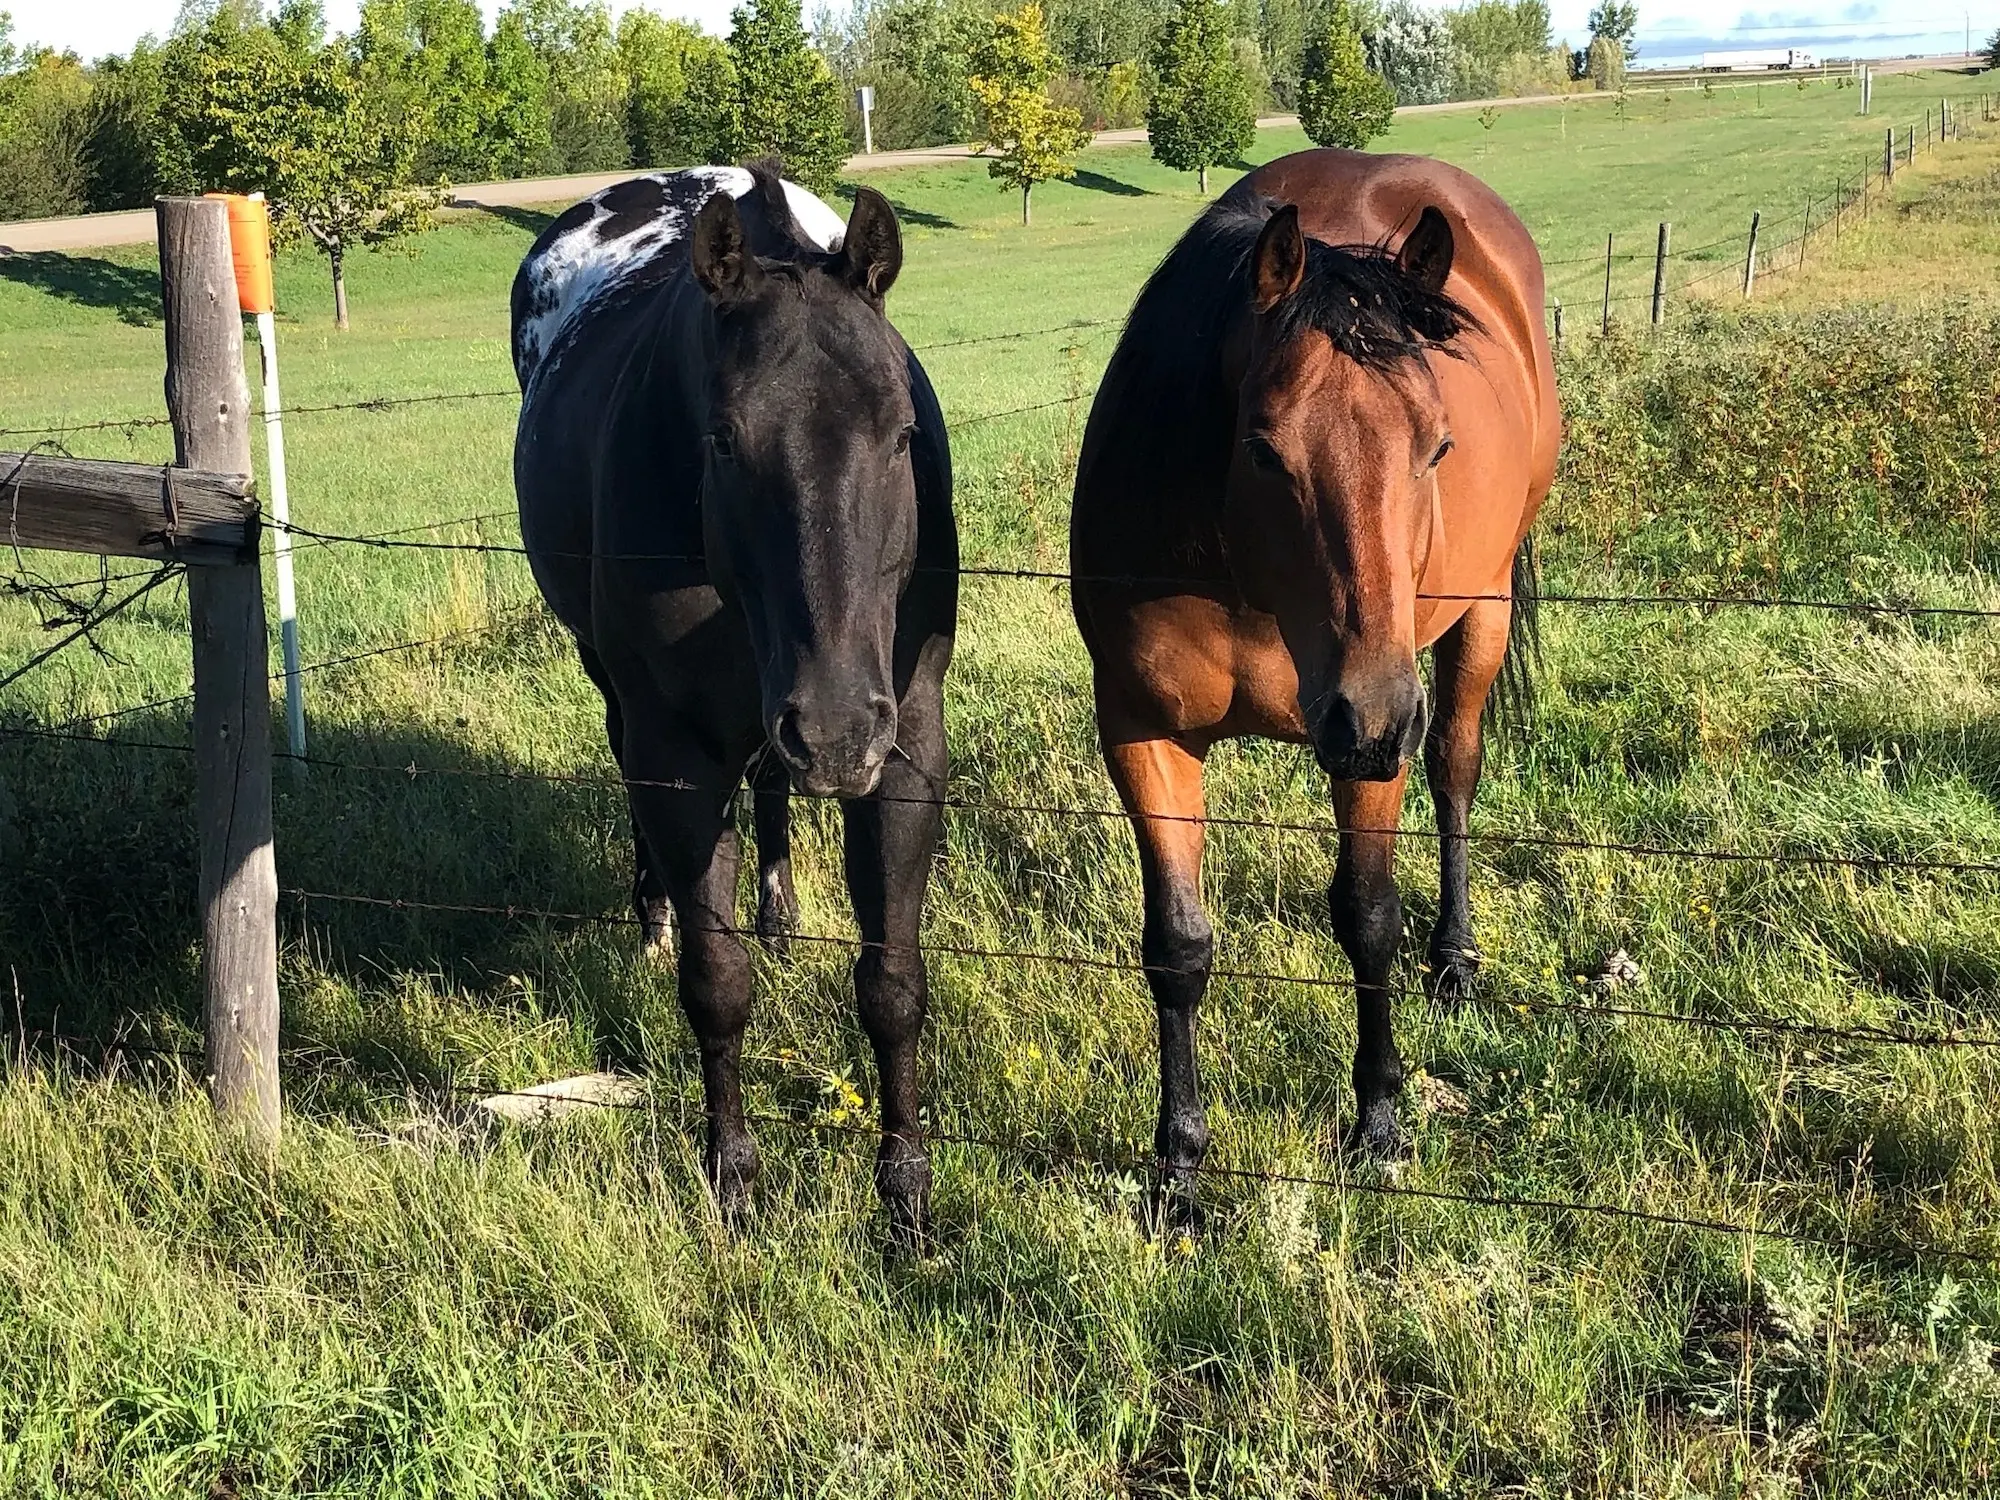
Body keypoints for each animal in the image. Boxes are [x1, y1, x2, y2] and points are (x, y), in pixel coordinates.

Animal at [512, 162, 956, 1248]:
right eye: (721, 439)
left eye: (902, 434)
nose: (837, 731)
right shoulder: (676, 752)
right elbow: (716, 987)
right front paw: (732, 1180)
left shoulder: (906, 741)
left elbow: (892, 983)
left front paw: (905, 1197)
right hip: (613, 679)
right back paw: (654, 913)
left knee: (770, 777)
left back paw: (781, 911)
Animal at [1080, 150, 1560, 1200]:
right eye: (1263, 449)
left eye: (1438, 444)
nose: (1374, 719)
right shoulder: (1141, 731)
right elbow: (1177, 948)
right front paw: (1179, 1166)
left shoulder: (1369, 733)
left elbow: (1369, 917)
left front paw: (1378, 1120)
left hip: (1479, 616)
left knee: (1455, 770)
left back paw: (1455, 960)